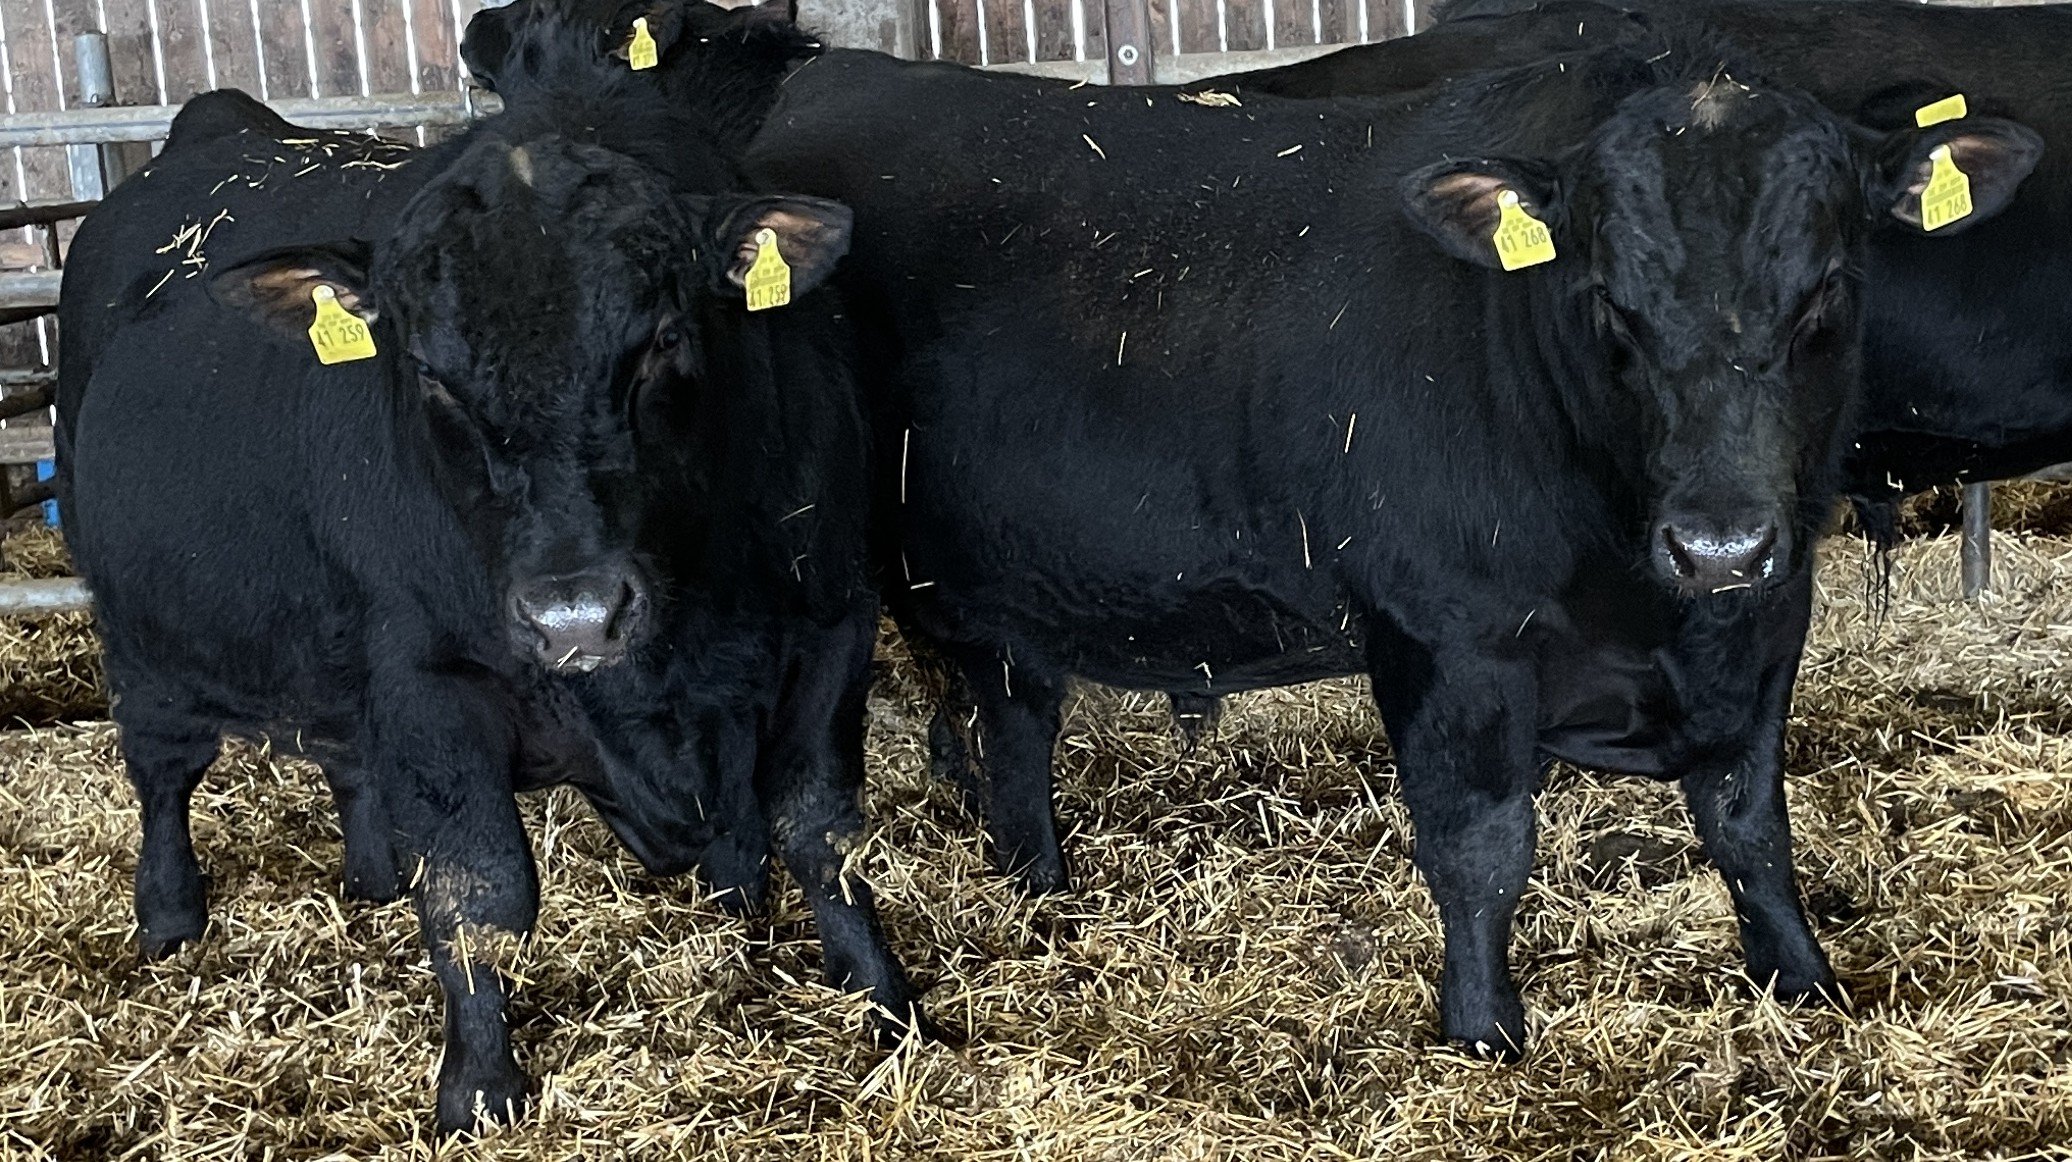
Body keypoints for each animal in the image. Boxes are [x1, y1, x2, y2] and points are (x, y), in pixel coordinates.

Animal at [57, 0, 920, 1132]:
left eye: (661, 338)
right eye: (431, 376)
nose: (575, 616)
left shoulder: (829, 625)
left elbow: (821, 830)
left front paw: (886, 999)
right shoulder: (434, 679)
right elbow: (479, 891)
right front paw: (477, 1084)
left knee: (345, 756)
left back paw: (372, 871)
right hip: (143, 642)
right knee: (162, 774)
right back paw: (168, 912)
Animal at [743, 39, 2040, 1055]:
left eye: (1824, 290)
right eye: (1608, 303)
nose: (1716, 541)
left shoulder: (1767, 618)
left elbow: (1749, 822)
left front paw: (1801, 980)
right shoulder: (1447, 638)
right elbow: (1479, 847)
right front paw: (1482, 1033)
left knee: (1009, 739)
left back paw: (1044, 899)